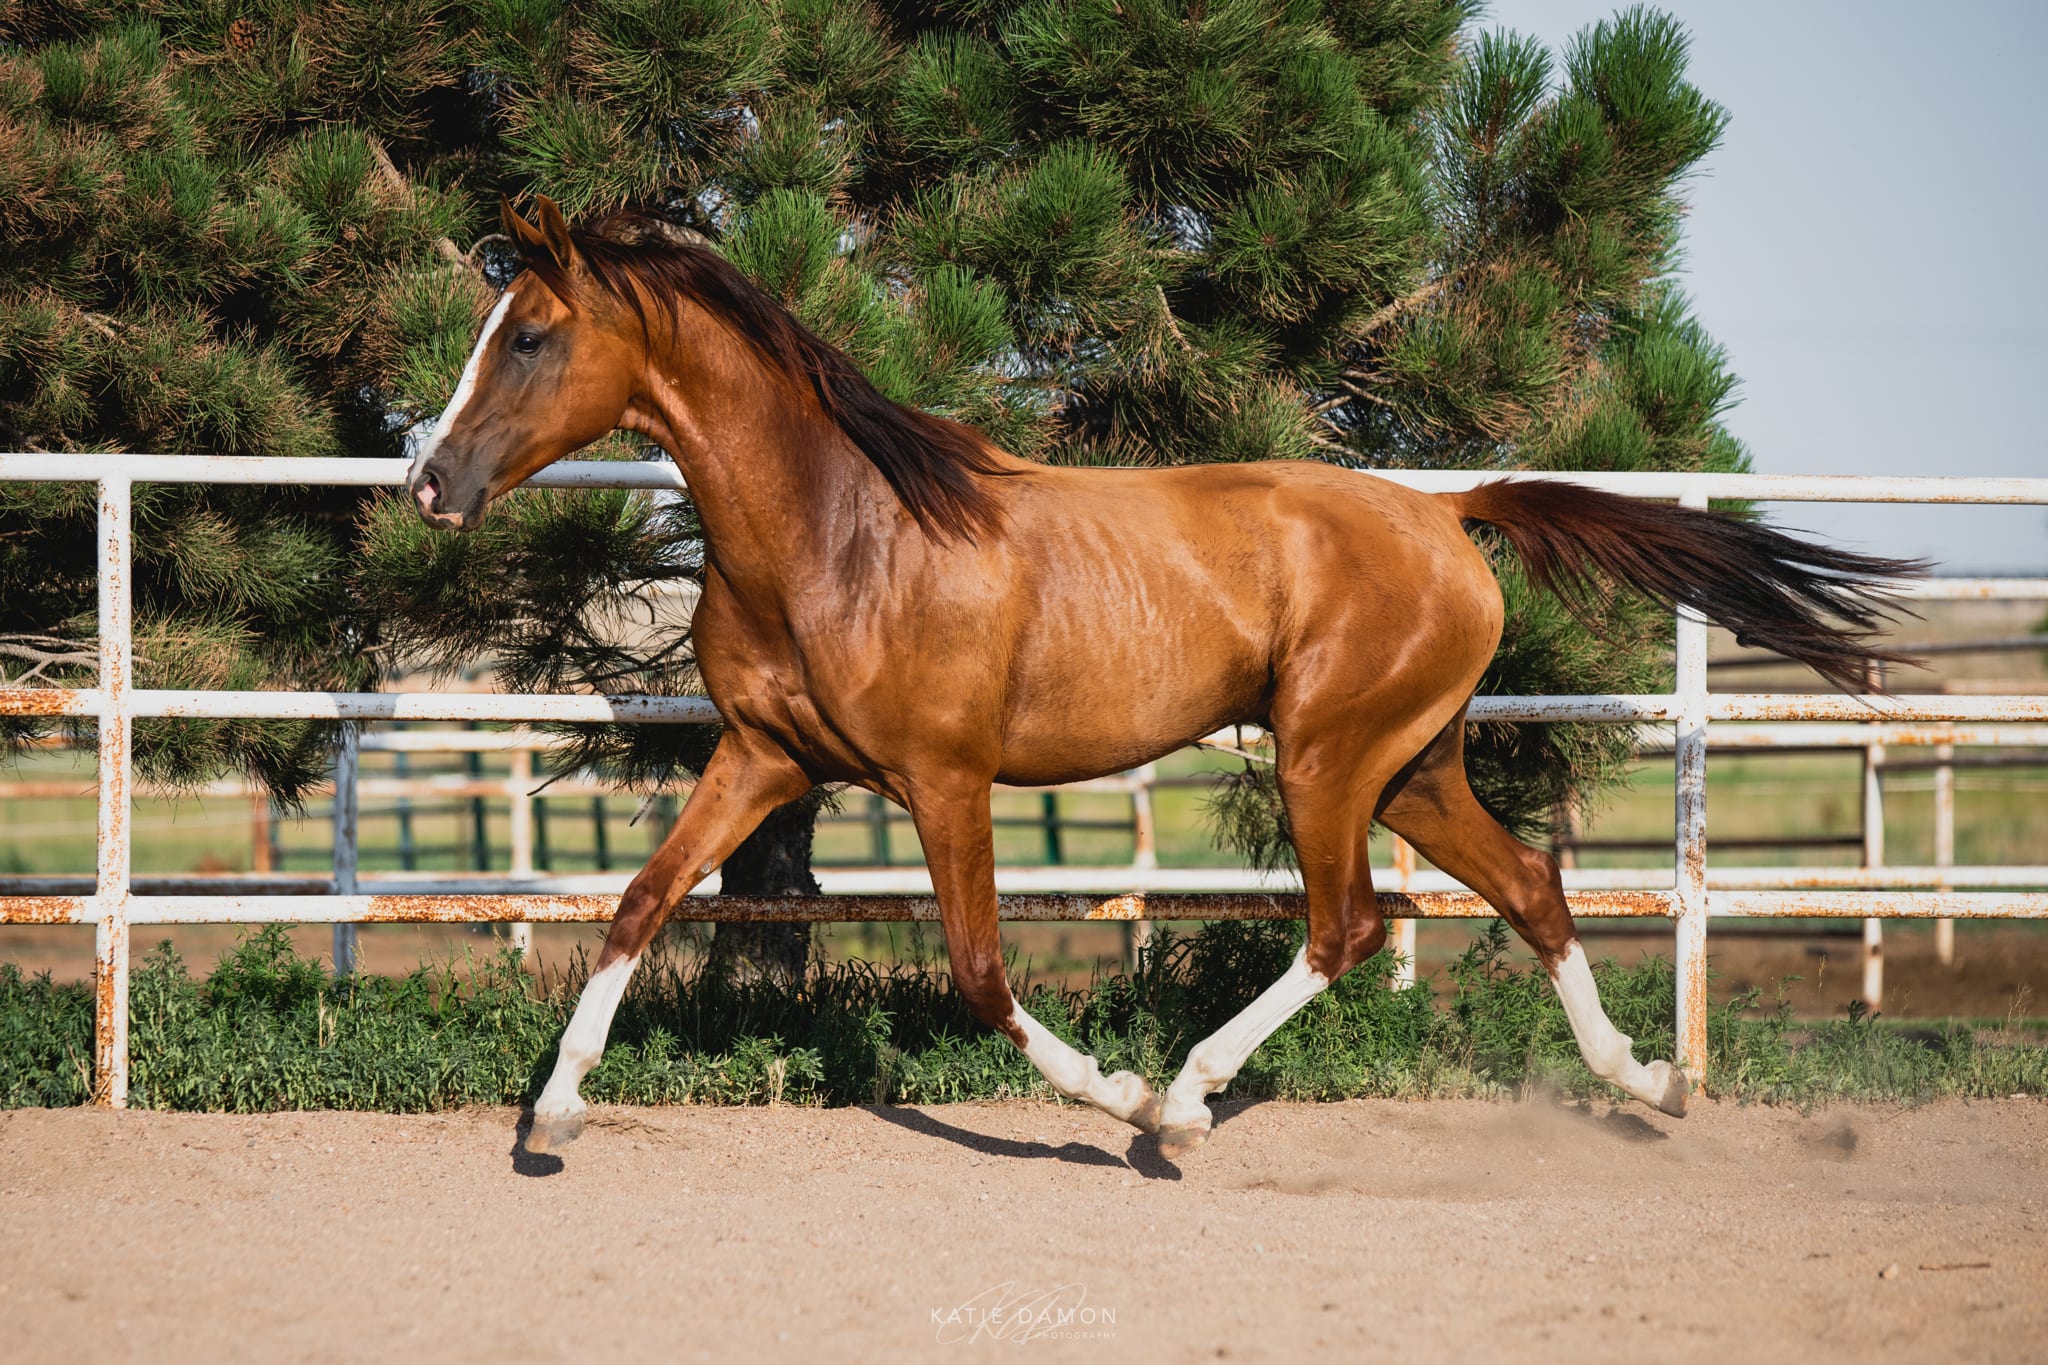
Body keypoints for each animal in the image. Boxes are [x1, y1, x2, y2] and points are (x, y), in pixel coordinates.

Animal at [408, 196, 1919, 1158]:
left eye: (529, 336)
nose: (430, 484)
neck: (841, 533)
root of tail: (1448, 513)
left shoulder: (943, 777)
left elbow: (979, 972)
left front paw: (1122, 1097)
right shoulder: (762, 756)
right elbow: (637, 903)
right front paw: (552, 1116)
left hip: (1327, 759)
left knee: (1347, 927)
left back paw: (1187, 1100)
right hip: (1414, 769)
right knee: (1534, 889)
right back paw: (1651, 1084)